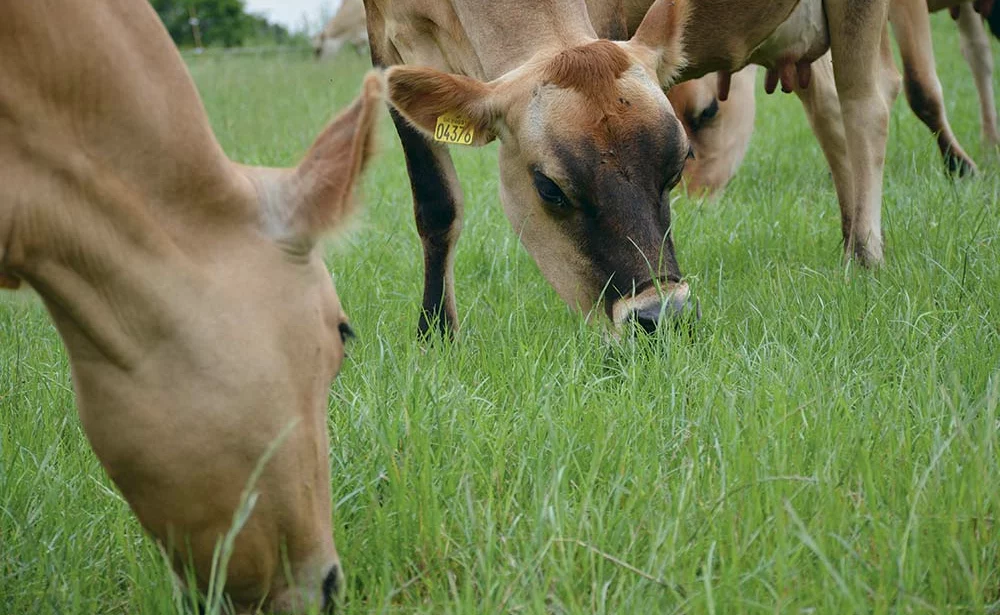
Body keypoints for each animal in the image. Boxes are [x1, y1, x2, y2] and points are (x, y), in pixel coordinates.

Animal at [370, 0, 900, 336]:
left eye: (676, 165)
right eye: (550, 189)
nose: (663, 318)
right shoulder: (383, 42)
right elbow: (437, 206)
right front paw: (437, 335)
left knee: (865, 106)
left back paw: (865, 257)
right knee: (829, 112)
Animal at [672, 0, 1000, 195]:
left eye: (708, 111)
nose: (693, 196)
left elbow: (920, 86)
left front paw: (959, 166)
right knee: (977, 52)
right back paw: (990, 142)